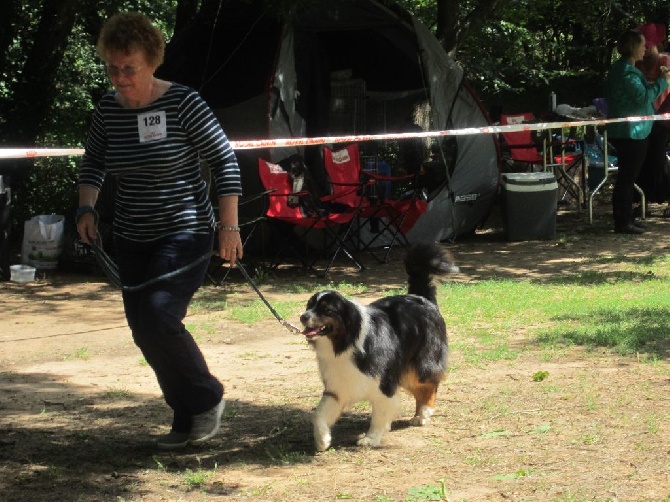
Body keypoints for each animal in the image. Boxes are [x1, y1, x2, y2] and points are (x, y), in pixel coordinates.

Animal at [302, 243, 460, 452]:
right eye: (309, 306)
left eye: (326, 309)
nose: (302, 317)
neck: (345, 342)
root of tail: (420, 296)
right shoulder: (338, 386)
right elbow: (319, 414)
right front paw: (322, 440)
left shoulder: (385, 383)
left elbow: (379, 414)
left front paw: (371, 438)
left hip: (418, 366)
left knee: (430, 385)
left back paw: (423, 414)